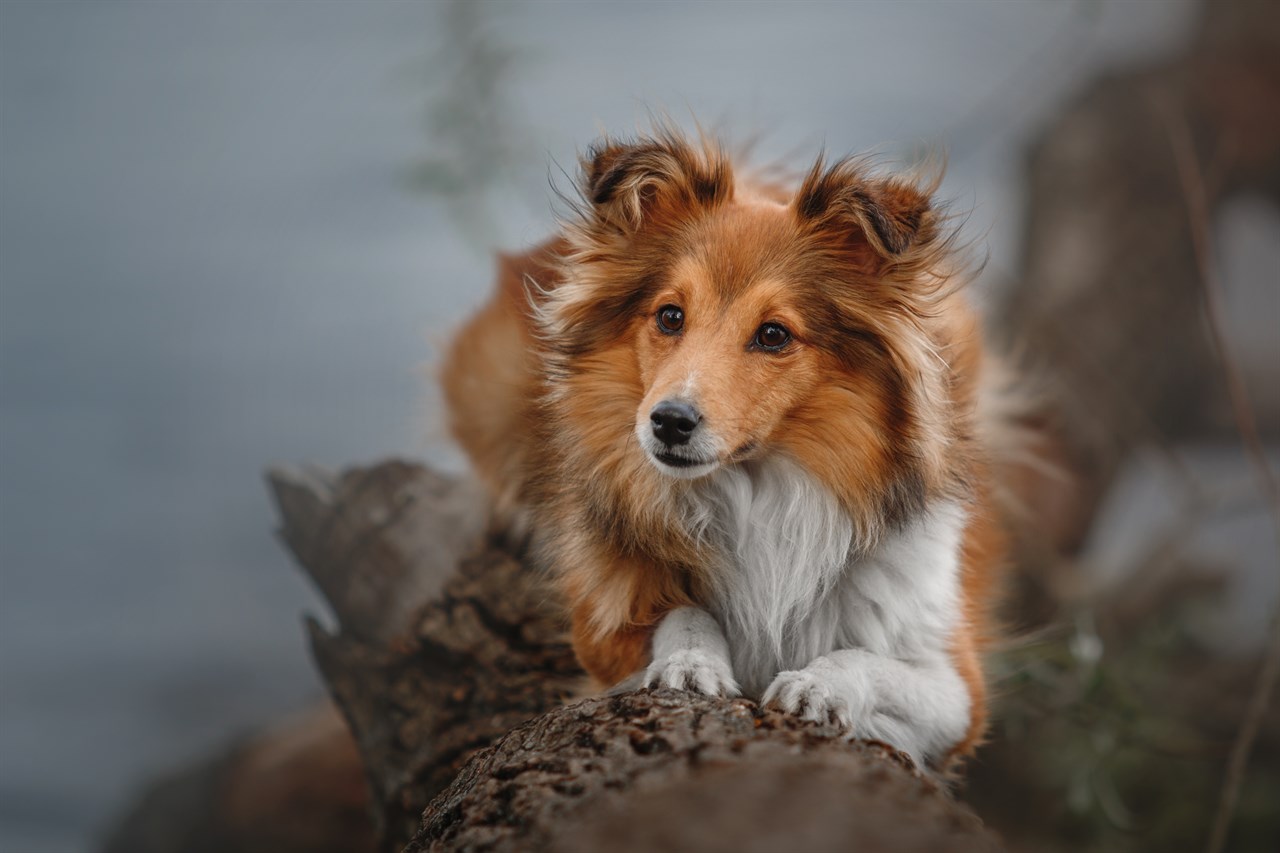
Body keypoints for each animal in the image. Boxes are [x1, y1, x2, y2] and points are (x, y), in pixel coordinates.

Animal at [445, 128, 1013, 768]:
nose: (668, 422)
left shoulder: (956, 687)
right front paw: (691, 661)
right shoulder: (602, 628)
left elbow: (870, 662)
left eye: (774, 334)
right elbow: (681, 612)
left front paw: (818, 685)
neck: (762, 491)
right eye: (670, 315)